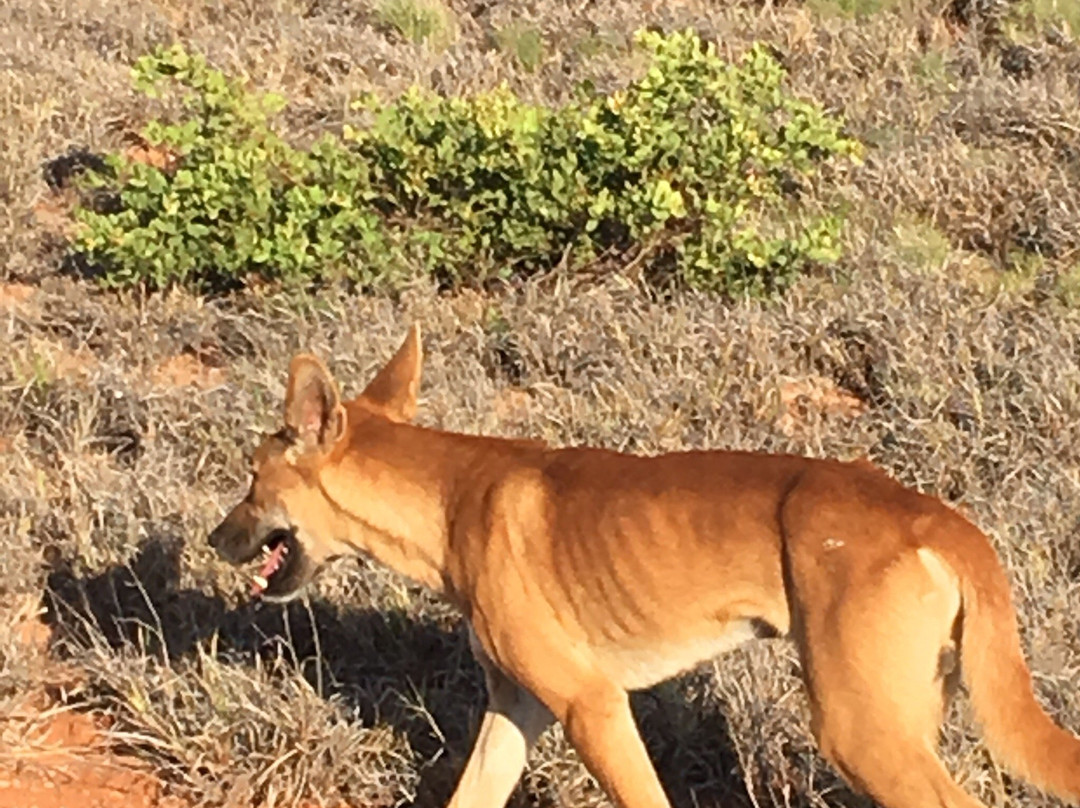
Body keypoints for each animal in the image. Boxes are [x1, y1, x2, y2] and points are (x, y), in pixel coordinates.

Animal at [208, 324, 1080, 808]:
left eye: (250, 480)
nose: (215, 537)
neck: (452, 501)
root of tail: (938, 515)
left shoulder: (591, 704)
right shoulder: (518, 710)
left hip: (860, 730)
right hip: (901, 718)